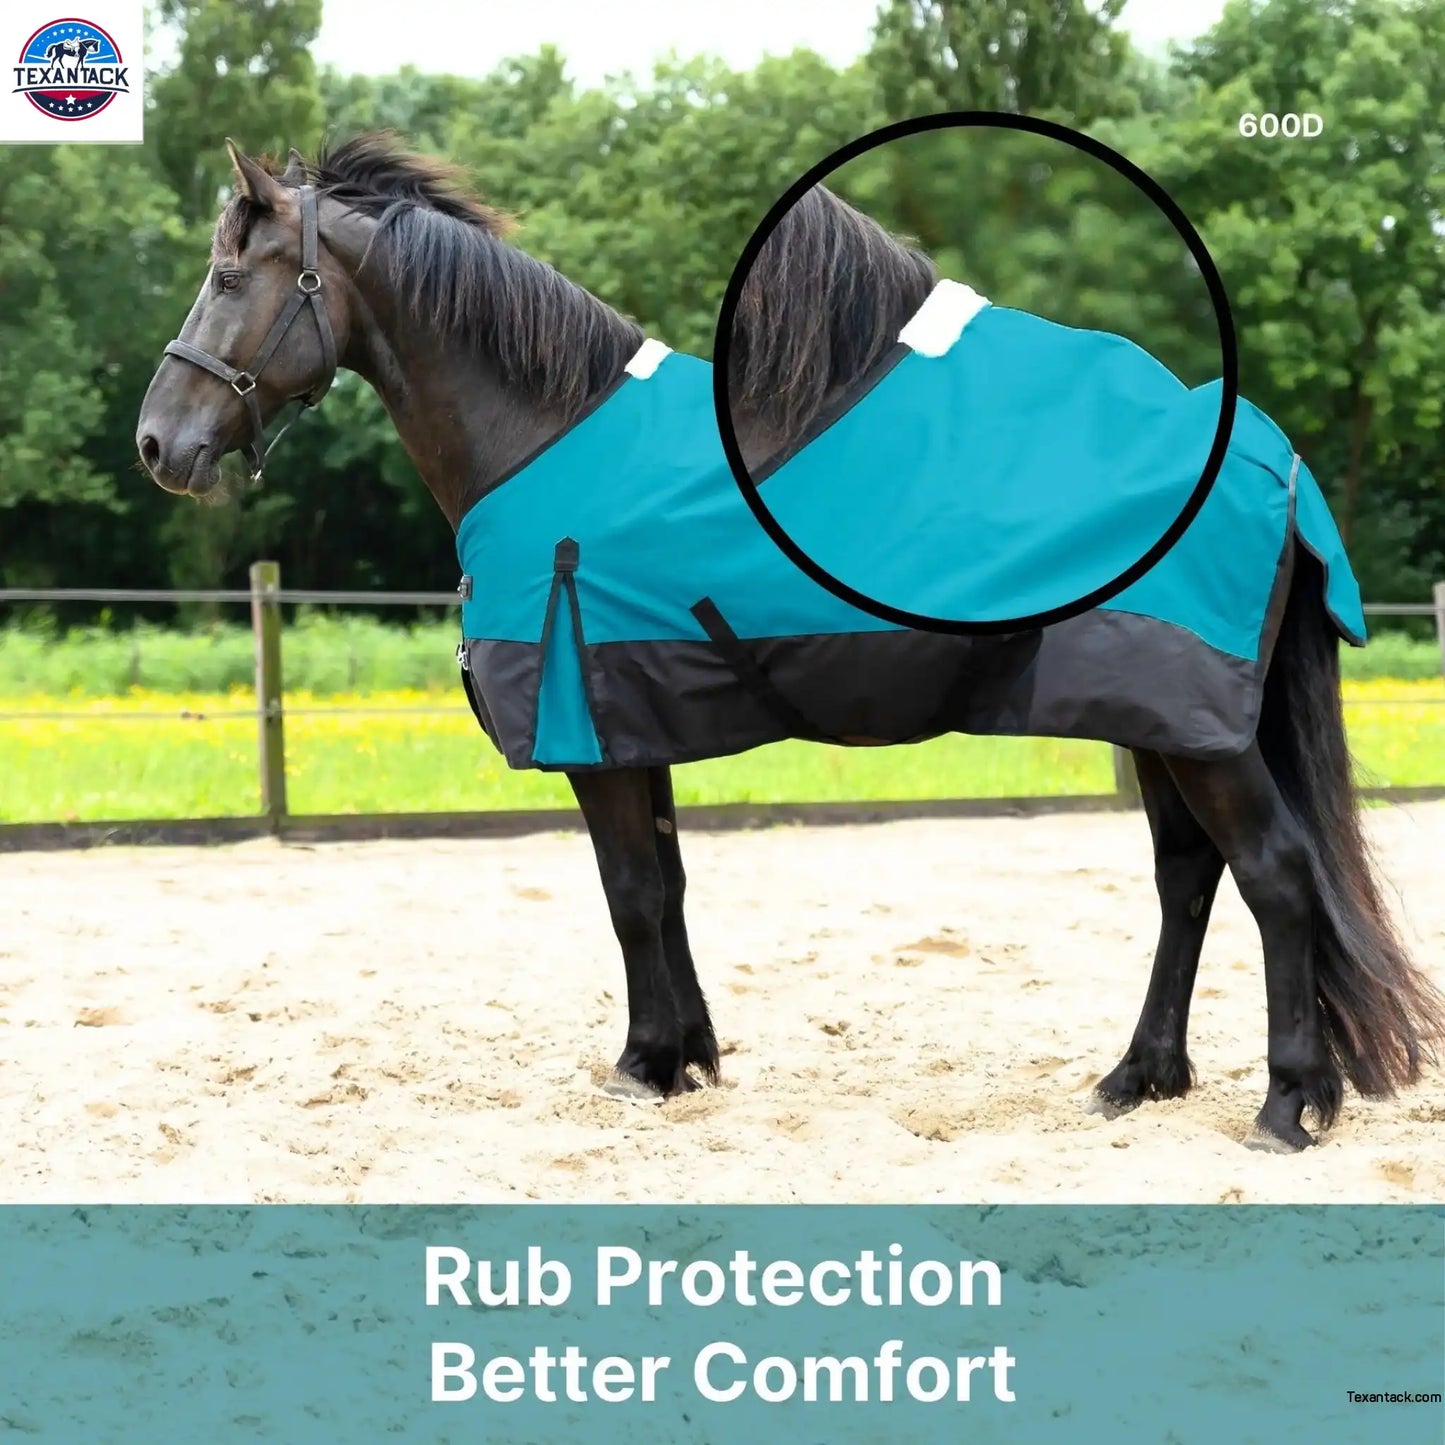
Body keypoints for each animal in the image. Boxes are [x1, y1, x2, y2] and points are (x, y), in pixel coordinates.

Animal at [136, 133, 1444, 1153]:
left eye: (227, 273)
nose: (158, 443)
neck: (544, 433)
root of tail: (1268, 455)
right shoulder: (633, 721)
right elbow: (663, 886)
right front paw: (688, 1056)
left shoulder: (592, 733)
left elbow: (626, 893)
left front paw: (642, 1064)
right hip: (1160, 718)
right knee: (1188, 877)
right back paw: (1135, 1079)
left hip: (1194, 726)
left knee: (1272, 874)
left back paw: (1286, 1106)